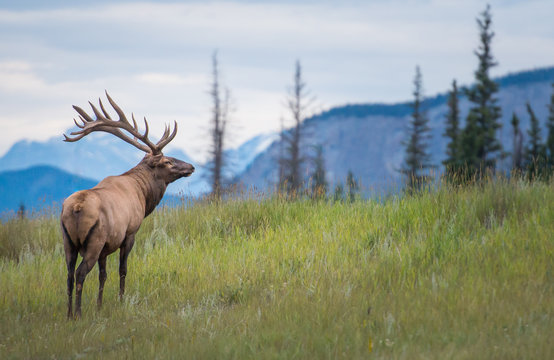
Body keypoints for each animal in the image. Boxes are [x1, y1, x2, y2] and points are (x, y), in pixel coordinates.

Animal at [60, 92, 193, 318]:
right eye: (167, 161)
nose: (191, 166)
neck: (143, 195)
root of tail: (76, 208)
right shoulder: (129, 233)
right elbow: (123, 270)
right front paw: (121, 301)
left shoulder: (106, 247)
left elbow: (103, 275)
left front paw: (99, 305)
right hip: (94, 240)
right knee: (79, 273)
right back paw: (77, 313)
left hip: (68, 241)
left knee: (68, 274)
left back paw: (68, 314)